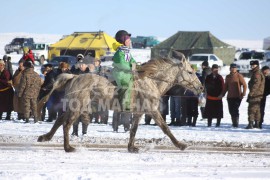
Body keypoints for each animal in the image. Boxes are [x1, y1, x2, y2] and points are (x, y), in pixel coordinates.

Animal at [37, 51, 202, 153]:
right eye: (190, 72)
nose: (201, 87)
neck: (152, 81)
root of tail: (74, 76)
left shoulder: (138, 113)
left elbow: (133, 130)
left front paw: (131, 148)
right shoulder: (153, 111)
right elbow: (166, 128)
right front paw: (181, 145)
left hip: (74, 106)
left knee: (60, 120)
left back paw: (45, 137)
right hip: (77, 107)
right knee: (66, 124)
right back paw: (68, 147)